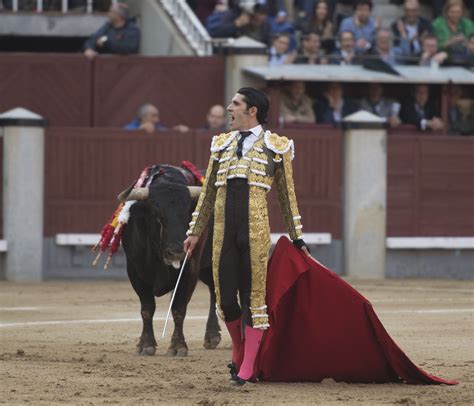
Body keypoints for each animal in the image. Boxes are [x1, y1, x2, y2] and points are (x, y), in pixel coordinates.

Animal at [120, 165, 220, 356]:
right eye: (157, 216)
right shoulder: (134, 271)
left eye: (189, 216)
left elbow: (178, 309)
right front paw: (145, 344)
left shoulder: (189, 269)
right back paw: (212, 336)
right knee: (213, 288)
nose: (177, 252)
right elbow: (147, 309)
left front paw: (178, 346)